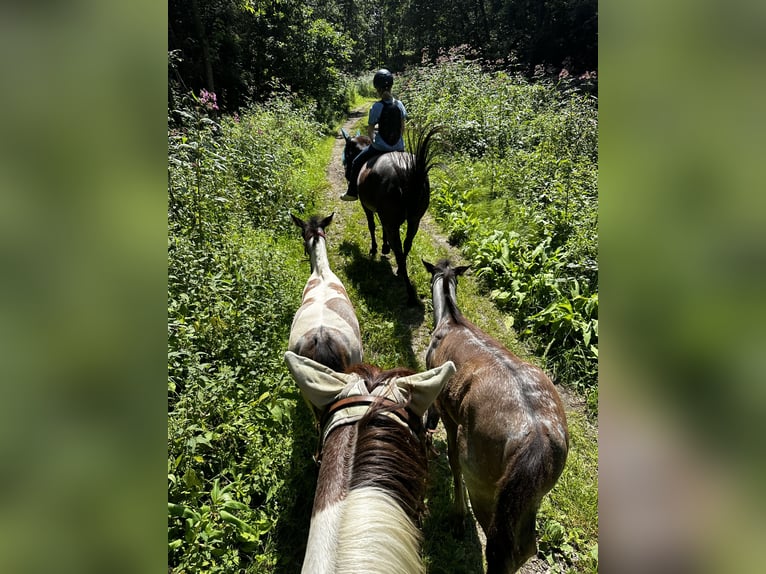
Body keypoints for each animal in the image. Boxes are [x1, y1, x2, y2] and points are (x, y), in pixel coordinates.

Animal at [344, 126, 440, 306]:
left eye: (347, 152)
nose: (346, 173)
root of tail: (407, 172)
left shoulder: (367, 207)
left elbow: (372, 226)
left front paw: (375, 248)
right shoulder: (386, 217)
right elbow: (382, 228)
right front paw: (384, 246)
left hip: (394, 222)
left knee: (399, 250)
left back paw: (409, 292)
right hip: (414, 220)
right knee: (406, 245)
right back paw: (401, 270)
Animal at [420, 262, 568, 574]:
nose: (429, 425)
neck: (451, 319)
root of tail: (536, 434)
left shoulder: (451, 416)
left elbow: (454, 462)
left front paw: (458, 515)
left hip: (485, 481)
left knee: (498, 546)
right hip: (531, 493)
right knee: (526, 547)